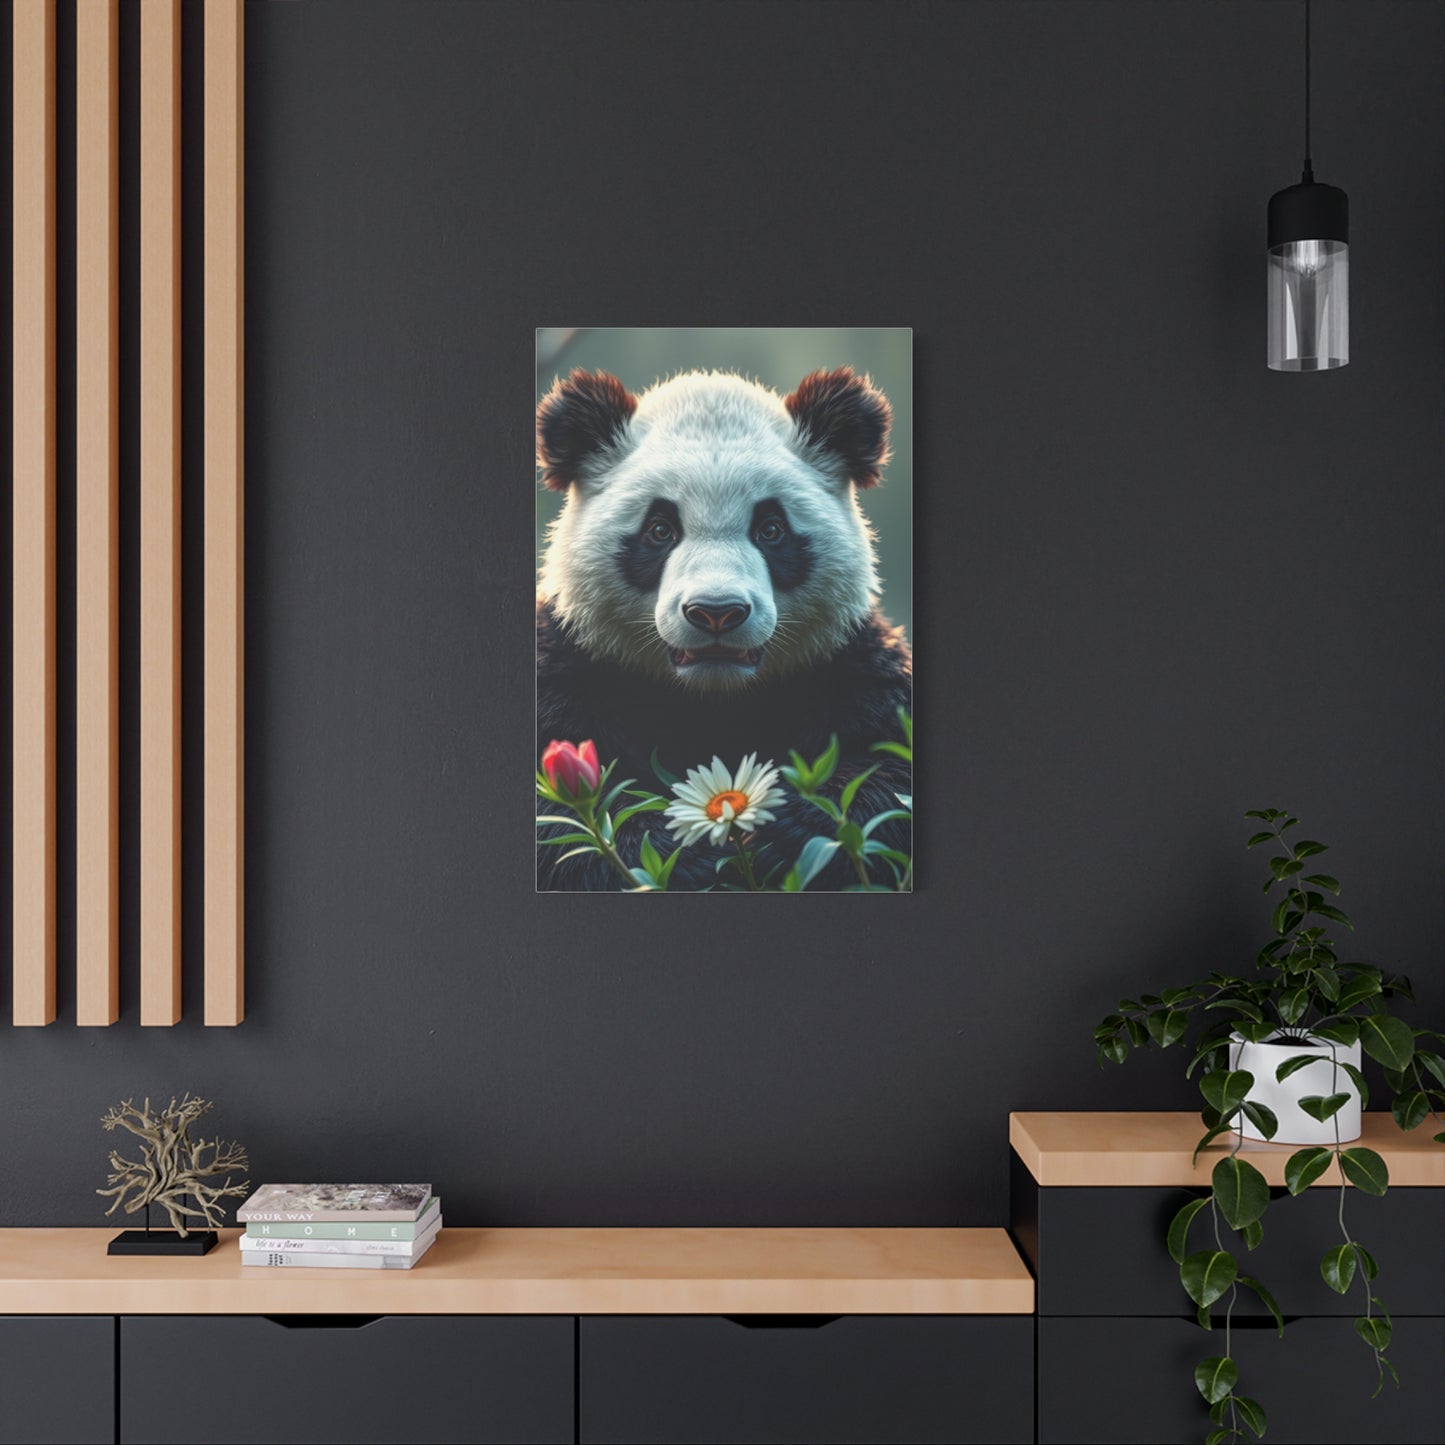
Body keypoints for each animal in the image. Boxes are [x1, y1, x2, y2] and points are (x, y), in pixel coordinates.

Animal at [536, 365, 912, 891]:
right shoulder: (570, 666)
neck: (713, 701)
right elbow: (561, 825)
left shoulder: (849, 663)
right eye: (660, 530)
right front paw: (678, 848)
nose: (717, 611)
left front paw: (786, 832)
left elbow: (891, 770)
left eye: (771, 529)